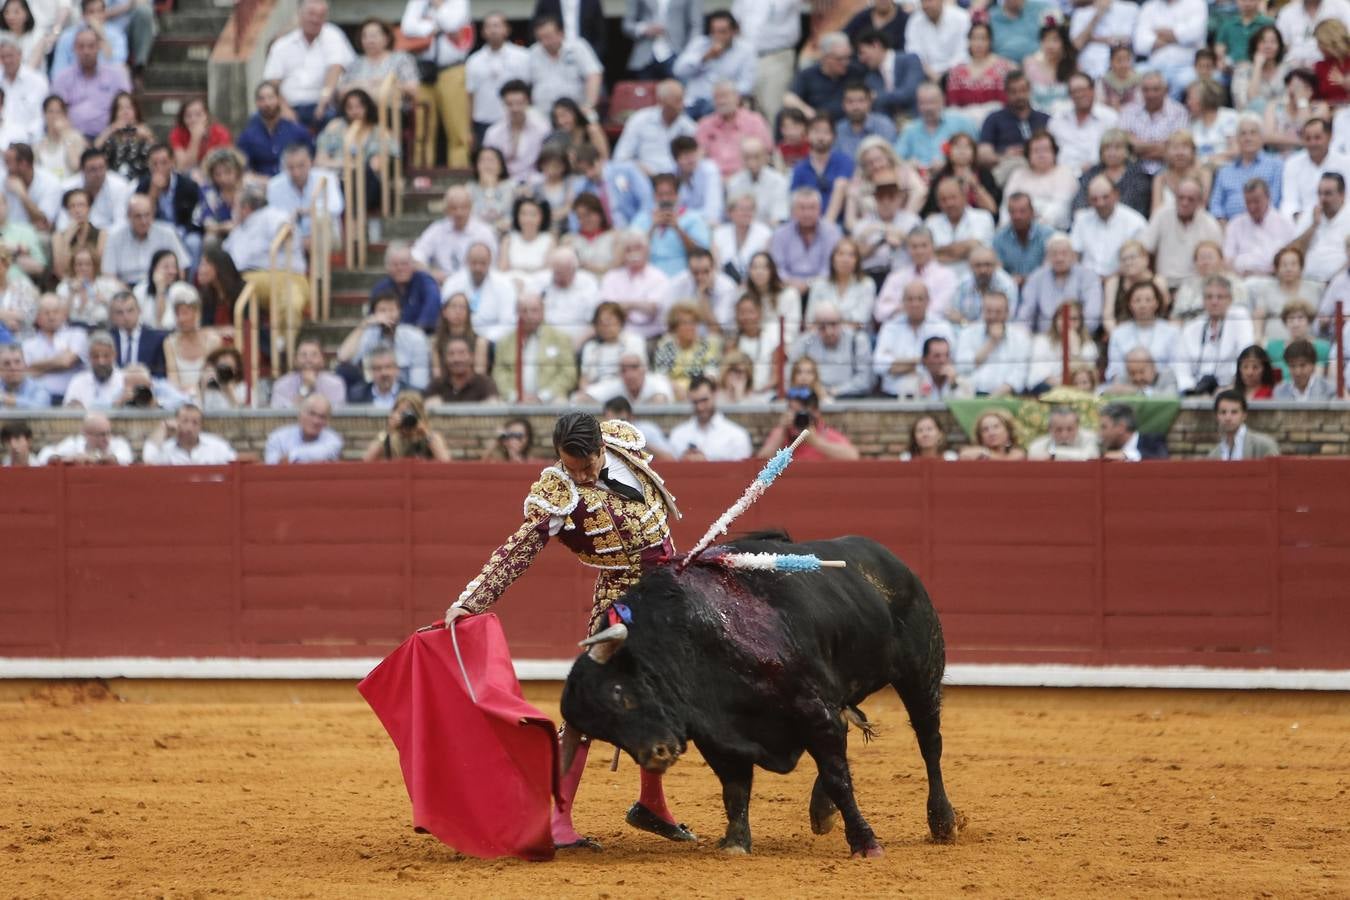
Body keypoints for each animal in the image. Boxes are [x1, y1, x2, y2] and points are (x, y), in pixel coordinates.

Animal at [558, 534, 961, 858]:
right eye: (604, 730)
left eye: (619, 692)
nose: (656, 754)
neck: (689, 636)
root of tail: (891, 559)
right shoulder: (718, 734)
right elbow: (734, 788)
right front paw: (736, 843)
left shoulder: (813, 711)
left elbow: (838, 777)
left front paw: (866, 843)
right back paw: (823, 813)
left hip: (920, 671)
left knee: (929, 741)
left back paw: (943, 822)